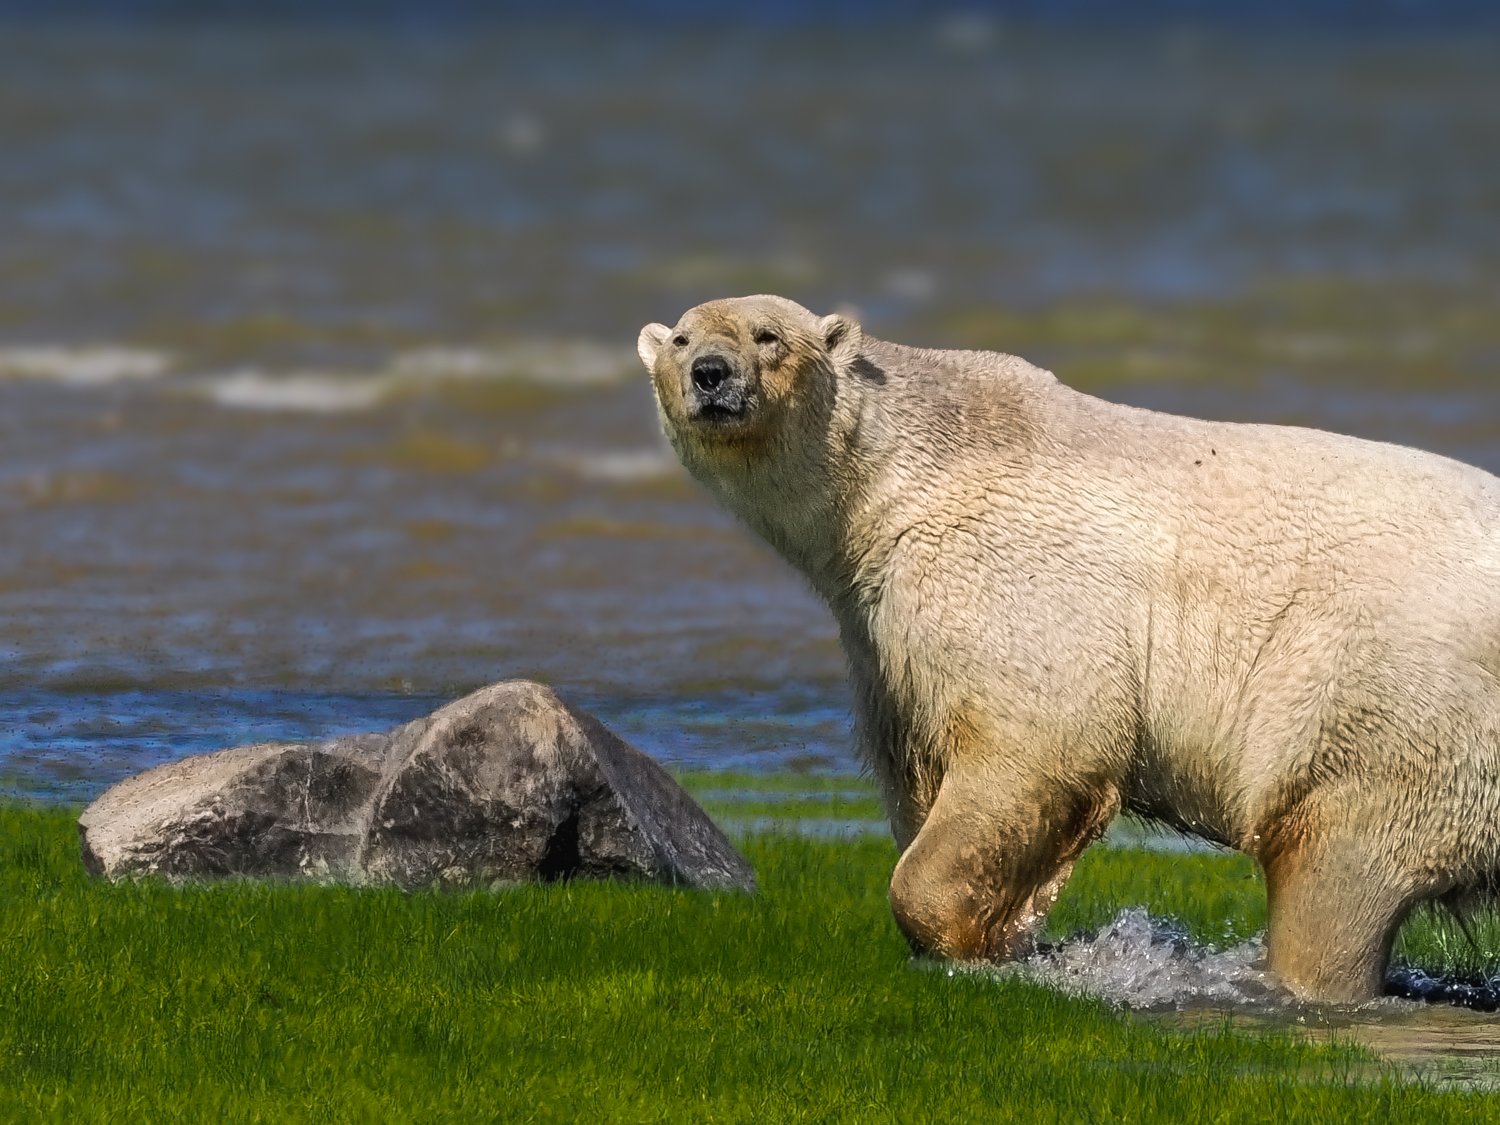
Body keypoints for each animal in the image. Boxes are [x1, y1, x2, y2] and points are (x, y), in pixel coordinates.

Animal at [637, 294, 1500, 1004]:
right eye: (680, 339)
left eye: (767, 335)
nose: (711, 374)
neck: (911, 470)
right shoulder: (877, 634)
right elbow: (914, 759)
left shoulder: (1005, 577)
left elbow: (1039, 740)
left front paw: (980, 935)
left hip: (1392, 705)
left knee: (1335, 871)